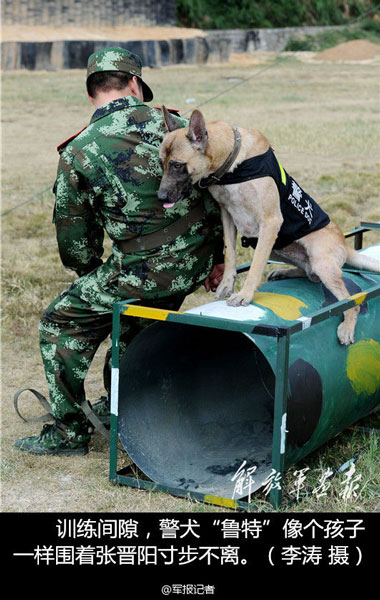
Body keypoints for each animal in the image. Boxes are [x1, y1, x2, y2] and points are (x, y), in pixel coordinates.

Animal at [158, 105, 380, 344]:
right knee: (310, 274)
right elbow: (230, 254)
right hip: (277, 249)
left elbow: (255, 266)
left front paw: (245, 295)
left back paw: (347, 328)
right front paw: (227, 284)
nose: (160, 197)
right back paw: (283, 272)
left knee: (351, 301)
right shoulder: (227, 215)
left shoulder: (270, 222)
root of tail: (345, 246)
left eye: (177, 165)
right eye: (161, 163)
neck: (232, 165)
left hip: (317, 259)